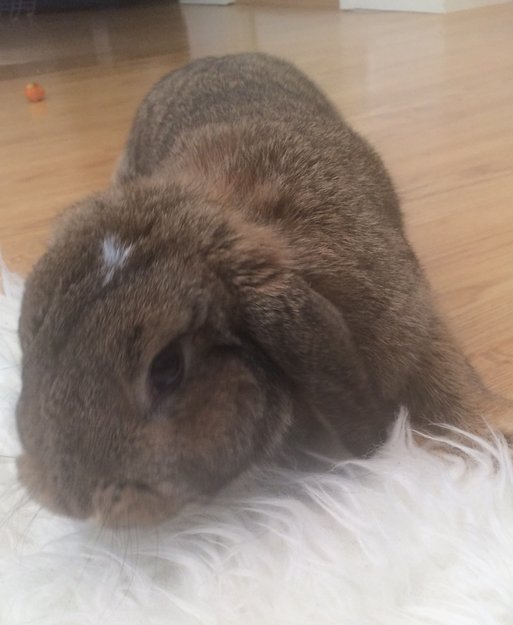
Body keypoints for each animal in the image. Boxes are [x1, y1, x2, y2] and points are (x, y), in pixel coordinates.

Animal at [15, 53, 512, 528]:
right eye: (28, 341)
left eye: (167, 369)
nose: (66, 499)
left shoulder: (412, 324)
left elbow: (448, 382)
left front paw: (495, 432)